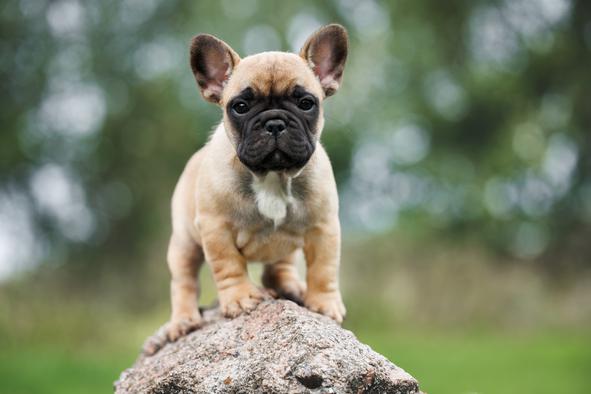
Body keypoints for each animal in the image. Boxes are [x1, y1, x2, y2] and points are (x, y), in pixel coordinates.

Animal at [148, 23, 350, 354]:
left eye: (306, 103)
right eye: (240, 107)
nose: (275, 123)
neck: (273, 176)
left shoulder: (324, 227)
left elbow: (324, 268)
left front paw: (323, 304)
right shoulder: (216, 228)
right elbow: (228, 265)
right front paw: (241, 298)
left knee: (277, 267)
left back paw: (291, 286)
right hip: (184, 244)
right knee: (184, 282)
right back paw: (183, 320)